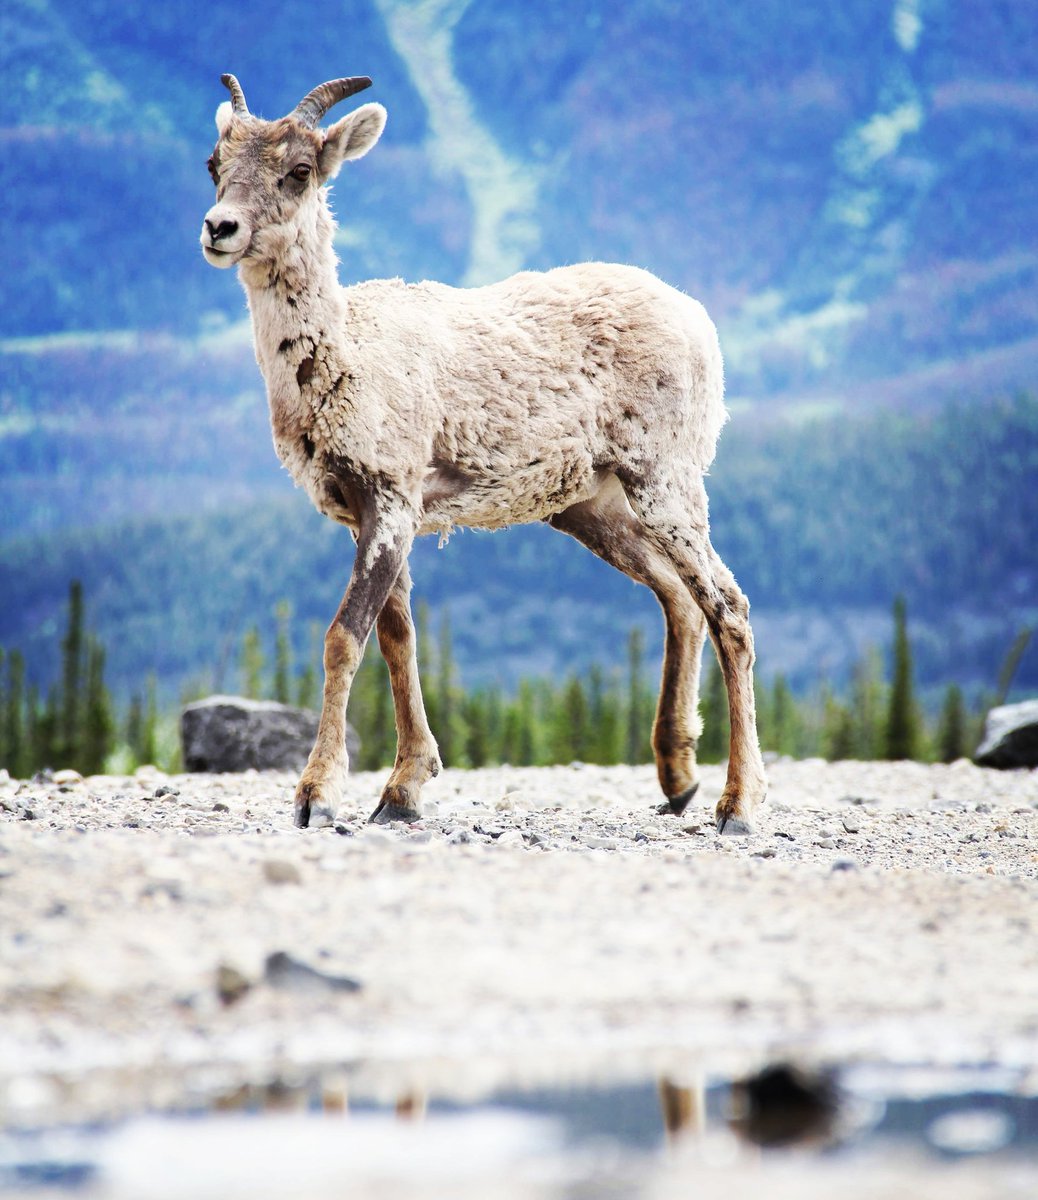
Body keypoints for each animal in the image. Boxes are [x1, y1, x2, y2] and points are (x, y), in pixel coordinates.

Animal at [200, 74, 767, 834]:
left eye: (300, 171)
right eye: (214, 163)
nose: (219, 229)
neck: (345, 361)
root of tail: (702, 324)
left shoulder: (391, 499)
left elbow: (344, 639)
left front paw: (317, 796)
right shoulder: (372, 515)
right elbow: (399, 640)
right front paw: (402, 792)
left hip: (666, 481)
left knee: (729, 606)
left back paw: (737, 805)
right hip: (590, 505)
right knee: (679, 597)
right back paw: (677, 780)